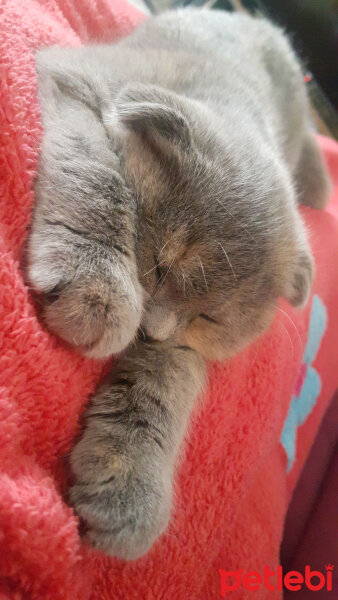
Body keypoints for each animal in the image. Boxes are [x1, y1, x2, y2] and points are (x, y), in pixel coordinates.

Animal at [27, 9, 332, 560]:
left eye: (207, 316)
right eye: (160, 266)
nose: (150, 328)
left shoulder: (188, 346)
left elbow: (168, 380)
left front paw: (128, 490)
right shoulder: (77, 75)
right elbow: (100, 173)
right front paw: (97, 284)